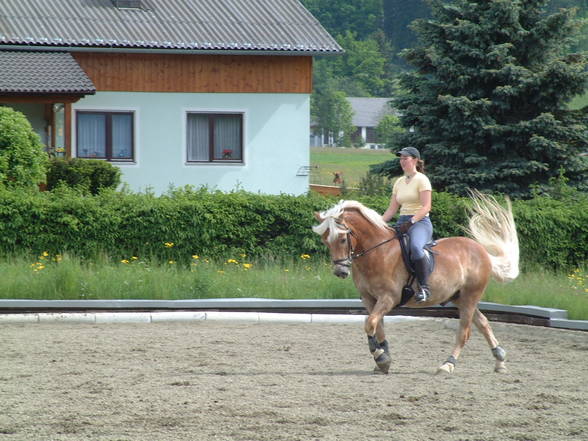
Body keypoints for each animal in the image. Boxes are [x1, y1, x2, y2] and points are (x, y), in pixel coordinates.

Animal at [312, 190, 520, 374]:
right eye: (325, 241)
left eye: (341, 239)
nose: (340, 272)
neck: (377, 252)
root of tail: (482, 251)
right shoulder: (369, 299)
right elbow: (377, 327)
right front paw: (384, 361)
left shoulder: (388, 298)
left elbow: (370, 324)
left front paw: (381, 357)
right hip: (460, 298)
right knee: (483, 323)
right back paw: (500, 361)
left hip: (470, 296)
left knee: (464, 332)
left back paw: (447, 365)